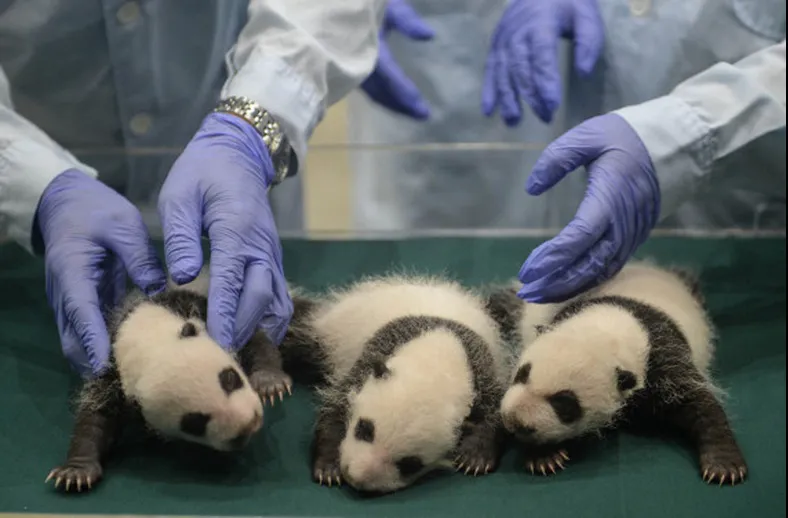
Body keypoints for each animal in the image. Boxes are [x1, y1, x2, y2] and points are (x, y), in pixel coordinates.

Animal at [46, 270, 292, 493]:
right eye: (194, 422)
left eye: (229, 379)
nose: (248, 423)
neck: (145, 335)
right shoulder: (110, 369)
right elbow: (96, 417)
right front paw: (76, 471)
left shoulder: (200, 310)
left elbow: (252, 339)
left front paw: (270, 383)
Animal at [280, 273, 514, 494]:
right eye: (364, 429)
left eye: (410, 464)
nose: (356, 477)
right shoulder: (370, 357)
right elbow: (335, 407)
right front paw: (329, 468)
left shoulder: (482, 372)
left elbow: (497, 411)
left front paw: (475, 457)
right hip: (329, 333)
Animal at [495, 260, 748, 486]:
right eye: (522, 374)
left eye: (564, 403)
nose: (514, 420)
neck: (607, 329)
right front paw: (545, 455)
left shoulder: (662, 356)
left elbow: (699, 401)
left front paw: (723, 465)